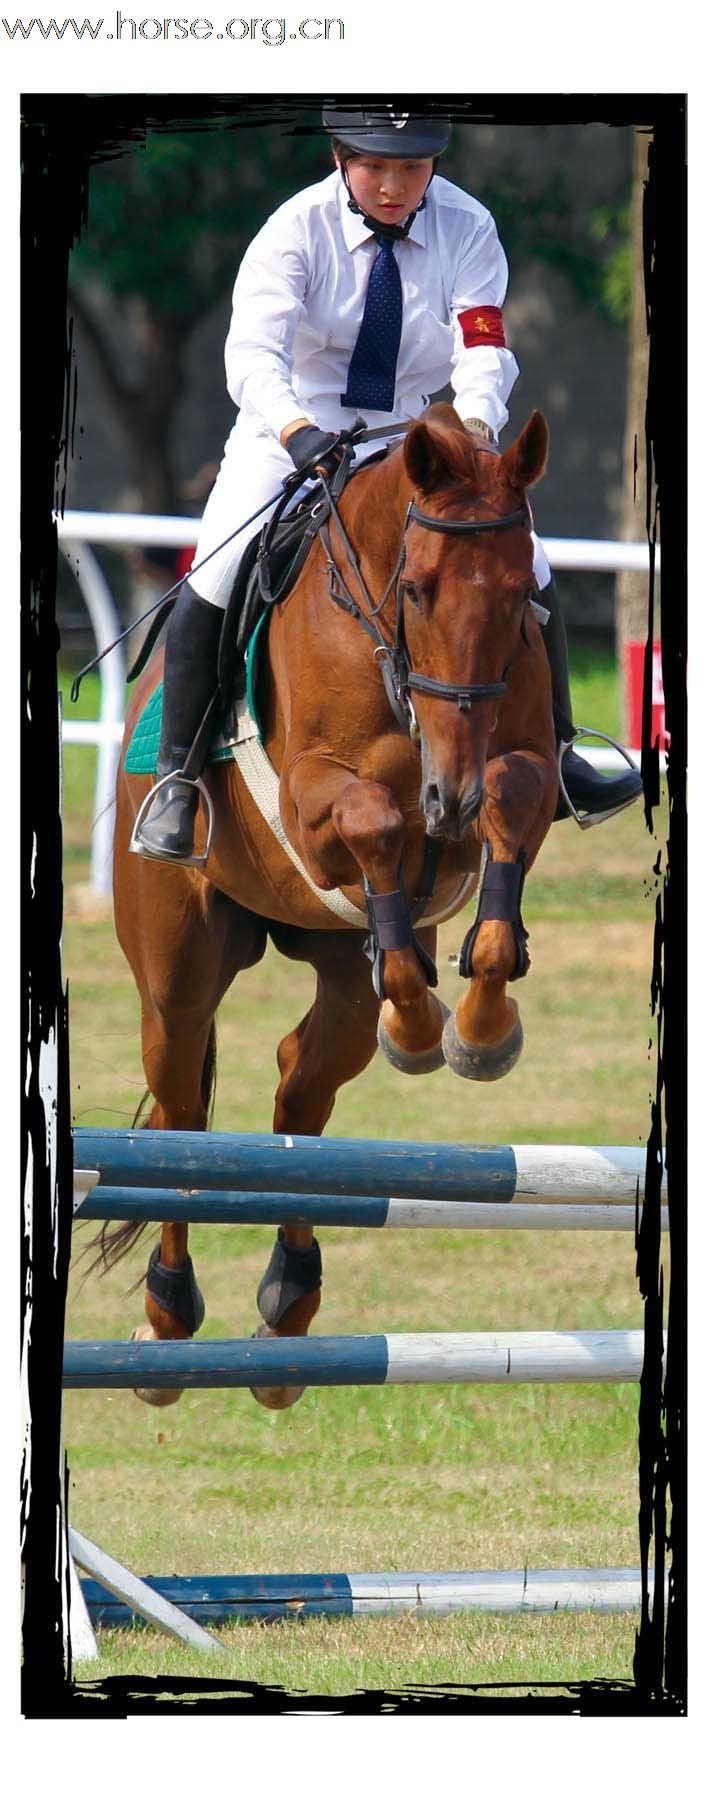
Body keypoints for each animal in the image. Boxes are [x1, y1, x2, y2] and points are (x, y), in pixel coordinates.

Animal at [110, 406, 559, 1407]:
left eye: (521, 595)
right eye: (419, 589)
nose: (447, 795)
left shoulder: (516, 769)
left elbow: (506, 797)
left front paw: (475, 1027)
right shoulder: (314, 803)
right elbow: (373, 815)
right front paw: (429, 1021)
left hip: (332, 983)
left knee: (297, 1095)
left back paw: (287, 1310)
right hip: (174, 979)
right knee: (180, 1118)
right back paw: (167, 1318)